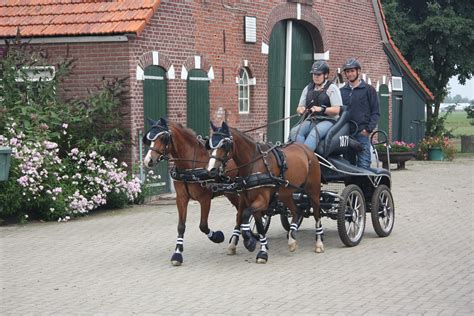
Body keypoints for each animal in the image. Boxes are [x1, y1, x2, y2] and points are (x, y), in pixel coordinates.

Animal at [207, 122, 326, 262]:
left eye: (224, 144)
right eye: (210, 144)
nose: (211, 170)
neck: (254, 163)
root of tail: (308, 150)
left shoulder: (262, 200)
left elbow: (246, 215)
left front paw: (250, 242)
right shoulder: (246, 199)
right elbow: (252, 223)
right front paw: (261, 250)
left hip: (313, 191)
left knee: (317, 214)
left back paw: (319, 243)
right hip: (285, 193)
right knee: (296, 211)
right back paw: (291, 240)